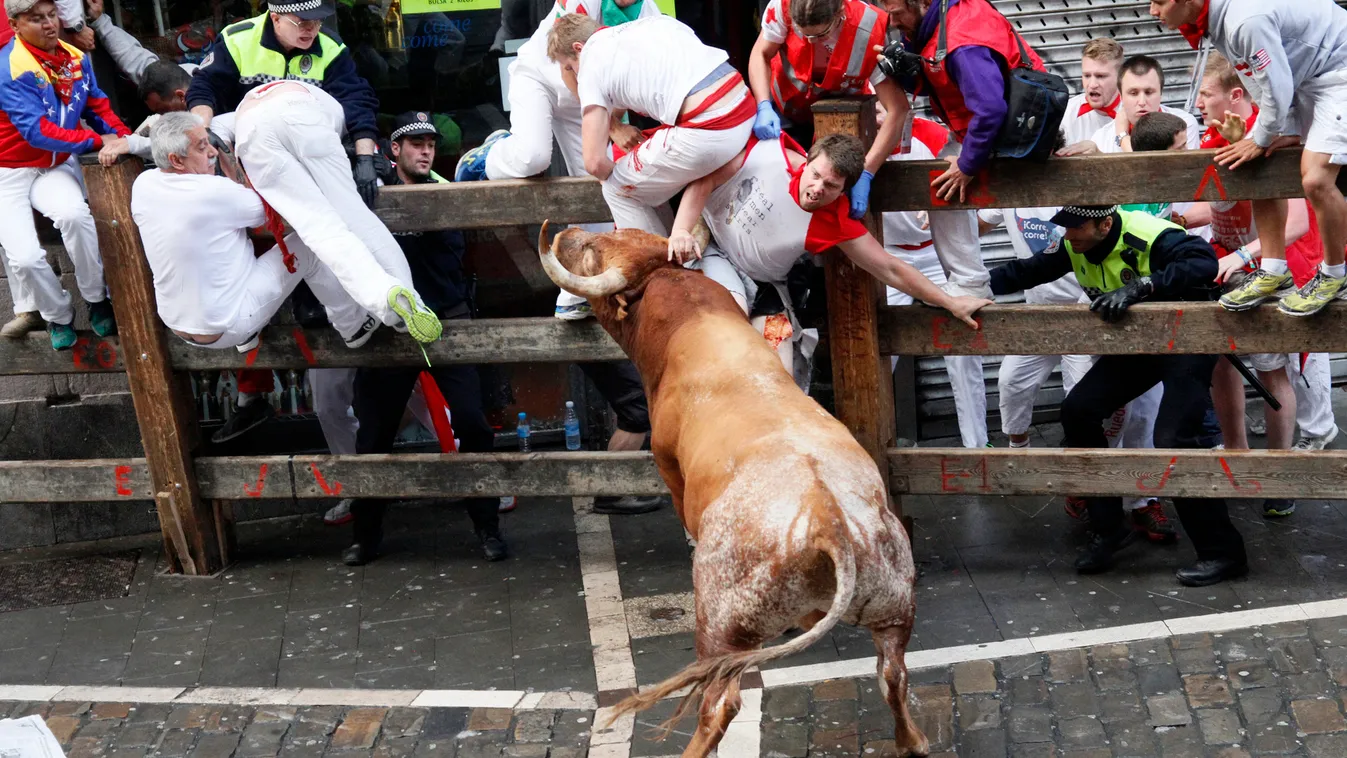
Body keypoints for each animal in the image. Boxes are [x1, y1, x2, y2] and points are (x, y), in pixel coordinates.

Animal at [536, 222, 926, 753]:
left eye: (595, 248)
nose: (570, 231)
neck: (691, 320)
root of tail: (828, 521)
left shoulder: (667, 462)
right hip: (893, 607)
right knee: (893, 674)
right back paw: (912, 740)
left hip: (722, 623)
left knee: (721, 702)